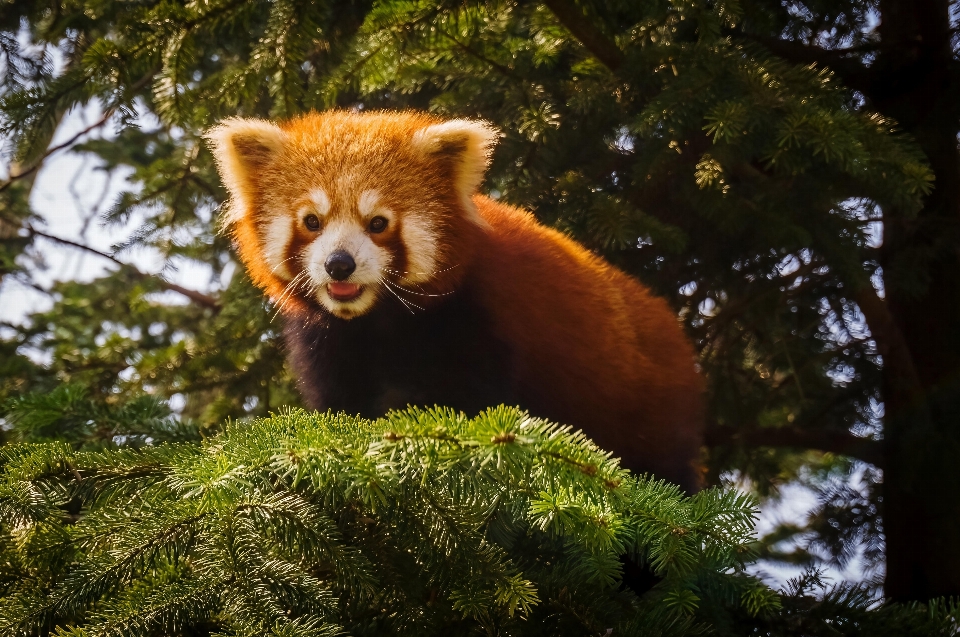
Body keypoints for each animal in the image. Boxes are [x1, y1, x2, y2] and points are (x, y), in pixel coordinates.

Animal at [208, 110, 704, 486]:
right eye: (312, 221)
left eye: (378, 223)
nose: (339, 264)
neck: (378, 319)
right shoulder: (328, 340)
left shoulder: (474, 322)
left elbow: (461, 405)